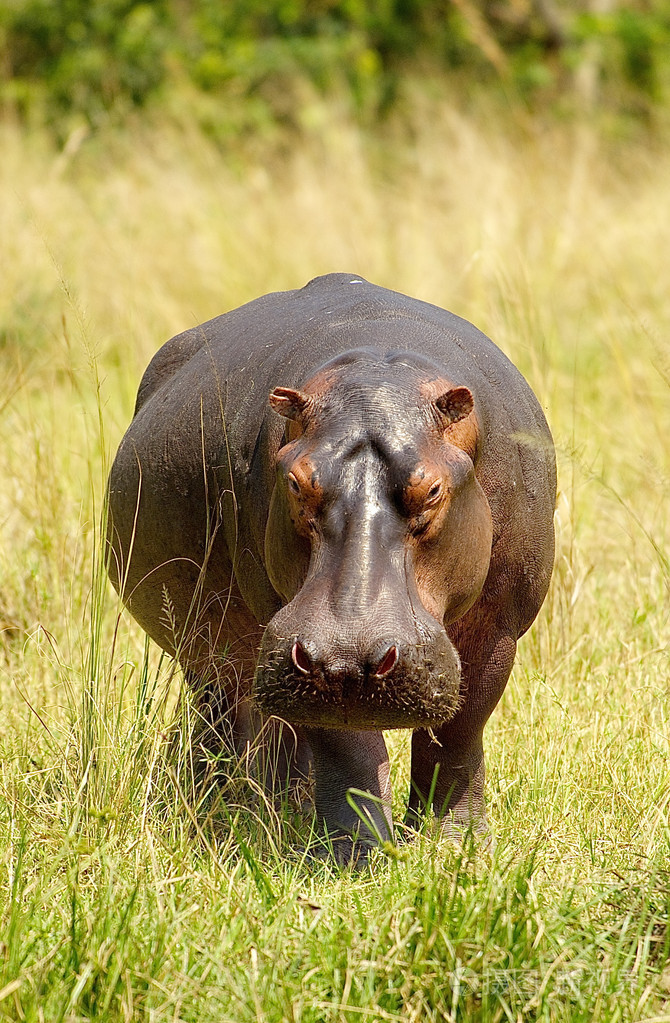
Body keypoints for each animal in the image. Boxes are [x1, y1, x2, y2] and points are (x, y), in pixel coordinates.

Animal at [106, 274, 556, 863]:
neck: (380, 370)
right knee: (225, 714)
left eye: (433, 489)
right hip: (215, 649)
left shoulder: (498, 627)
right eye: (296, 482)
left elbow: (459, 733)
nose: (349, 658)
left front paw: (456, 850)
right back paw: (227, 804)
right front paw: (352, 854)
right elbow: (345, 750)